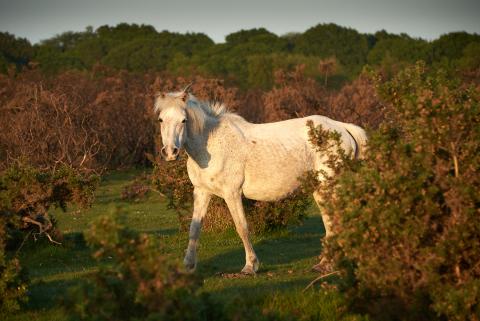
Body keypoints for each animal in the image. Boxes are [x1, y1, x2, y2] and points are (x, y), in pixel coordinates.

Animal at [155, 86, 368, 274]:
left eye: (183, 120)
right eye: (161, 120)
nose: (170, 152)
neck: (211, 145)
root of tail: (342, 128)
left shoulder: (232, 193)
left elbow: (242, 227)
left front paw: (250, 266)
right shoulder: (201, 192)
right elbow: (194, 229)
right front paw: (188, 266)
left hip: (330, 185)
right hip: (320, 188)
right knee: (329, 220)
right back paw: (324, 264)